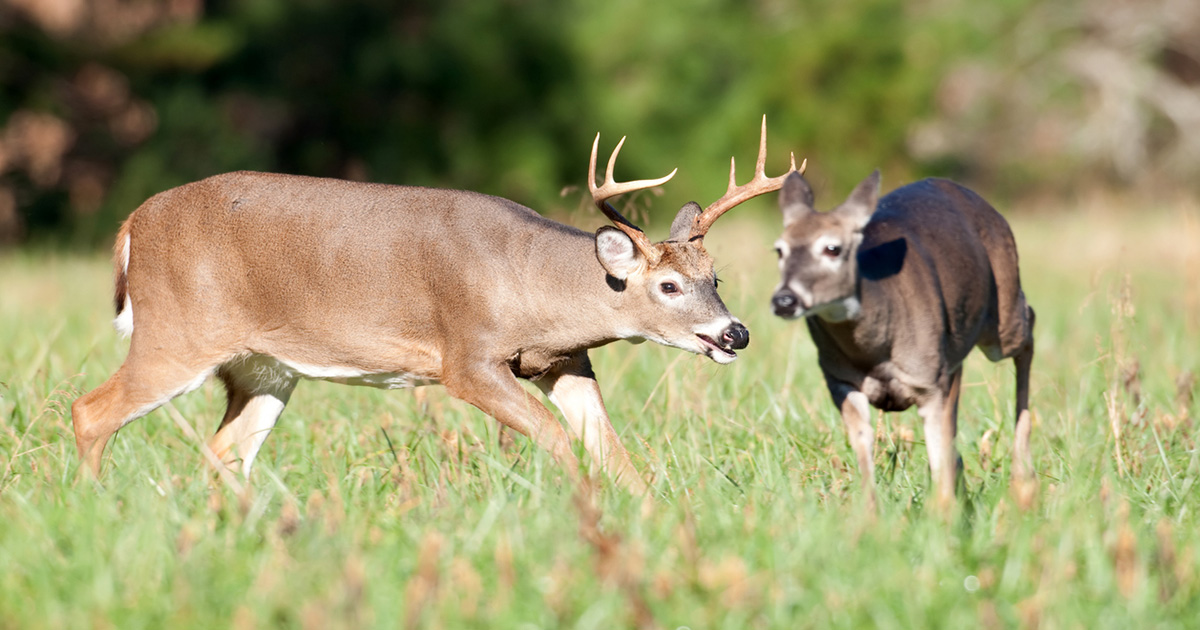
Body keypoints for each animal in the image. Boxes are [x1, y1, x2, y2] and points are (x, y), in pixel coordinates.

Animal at [77, 116, 806, 492]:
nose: (735, 333)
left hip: (265, 367)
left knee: (223, 452)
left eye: (715, 275)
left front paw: (652, 516)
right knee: (91, 411)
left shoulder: (565, 361)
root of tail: (132, 225)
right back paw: (92, 503)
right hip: (179, 329)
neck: (533, 284)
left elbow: (610, 447)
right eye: (669, 286)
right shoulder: (467, 357)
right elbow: (555, 438)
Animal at [772, 170, 1036, 511]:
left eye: (832, 248)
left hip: (1001, 319)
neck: (874, 349)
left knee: (1029, 326)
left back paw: (1023, 481)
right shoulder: (839, 380)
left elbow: (937, 452)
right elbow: (864, 448)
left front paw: (944, 514)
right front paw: (870, 515)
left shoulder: (929, 381)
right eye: (779, 249)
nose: (784, 300)